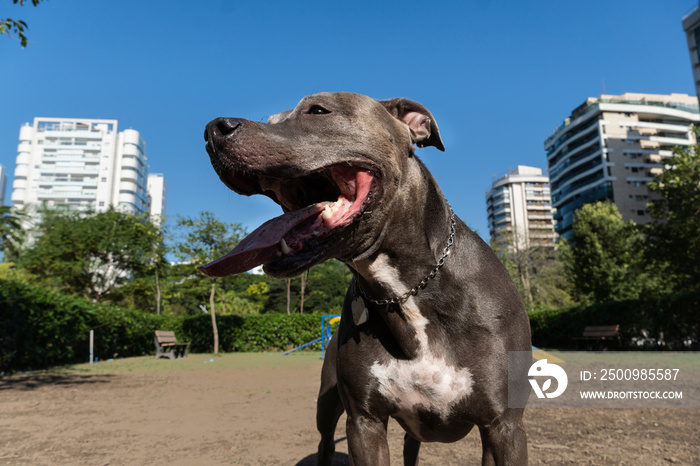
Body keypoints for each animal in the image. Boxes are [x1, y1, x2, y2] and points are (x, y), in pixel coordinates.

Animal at [201, 92, 532, 466]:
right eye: (271, 119)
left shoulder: (503, 427)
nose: (213, 129)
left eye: (318, 110)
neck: (408, 291)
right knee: (325, 443)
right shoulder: (365, 422)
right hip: (328, 406)